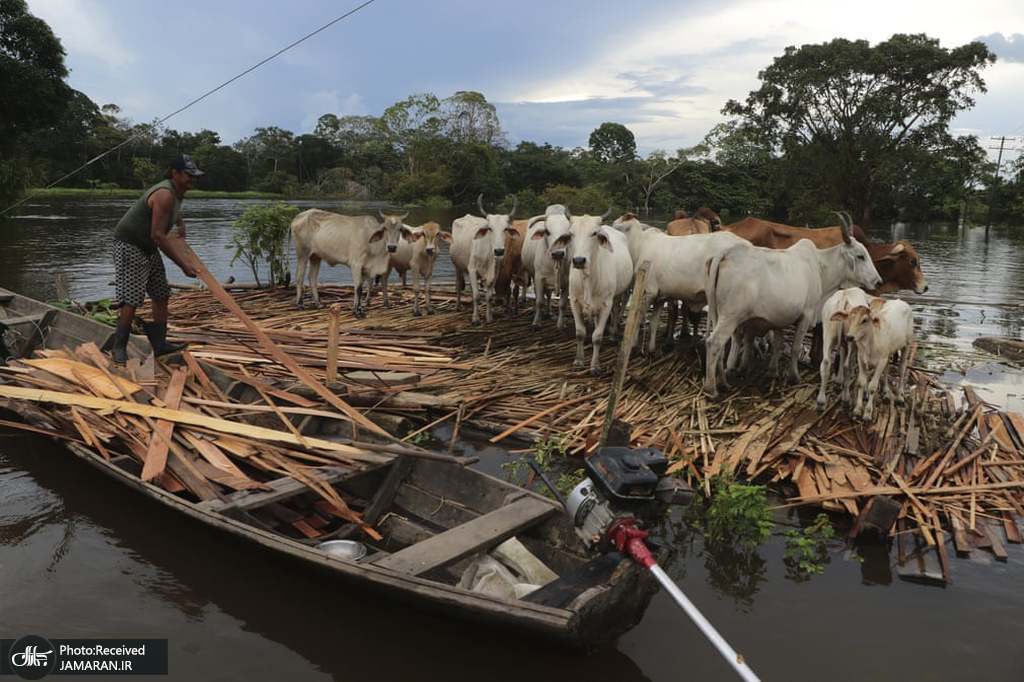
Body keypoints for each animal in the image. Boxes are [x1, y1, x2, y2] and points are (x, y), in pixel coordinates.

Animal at [450, 193, 520, 323]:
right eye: (490, 228)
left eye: (506, 229)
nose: (499, 251)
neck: (487, 254)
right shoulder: (472, 269)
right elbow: (476, 296)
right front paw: (475, 319)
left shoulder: (495, 272)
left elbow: (489, 296)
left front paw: (489, 317)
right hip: (457, 266)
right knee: (458, 285)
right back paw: (458, 306)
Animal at [552, 210, 630, 374]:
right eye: (571, 233)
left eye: (594, 233)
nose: (579, 260)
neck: (588, 279)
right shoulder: (574, 302)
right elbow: (580, 333)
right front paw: (579, 360)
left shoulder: (606, 304)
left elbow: (597, 337)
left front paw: (594, 365)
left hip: (618, 295)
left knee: (616, 311)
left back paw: (613, 334)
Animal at [704, 220, 880, 395]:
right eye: (860, 256)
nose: (878, 281)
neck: (820, 268)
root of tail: (726, 254)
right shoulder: (806, 315)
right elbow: (795, 347)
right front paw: (793, 376)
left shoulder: (778, 319)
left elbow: (778, 344)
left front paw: (772, 371)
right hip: (731, 316)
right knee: (714, 342)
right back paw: (711, 388)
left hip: (718, 313)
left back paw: (723, 381)